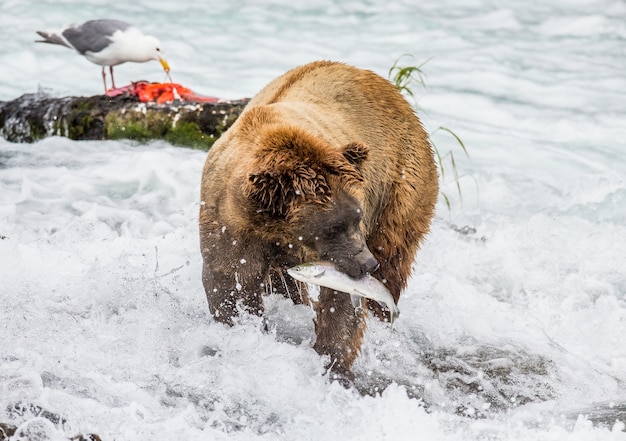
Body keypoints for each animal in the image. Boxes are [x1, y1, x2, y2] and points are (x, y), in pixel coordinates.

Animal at [197, 60, 436, 380]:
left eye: (357, 216)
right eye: (333, 226)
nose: (366, 263)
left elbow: (339, 301)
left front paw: (331, 360)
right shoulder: (231, 223)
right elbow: (231, 282)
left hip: (400, 184)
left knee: (394, 256)